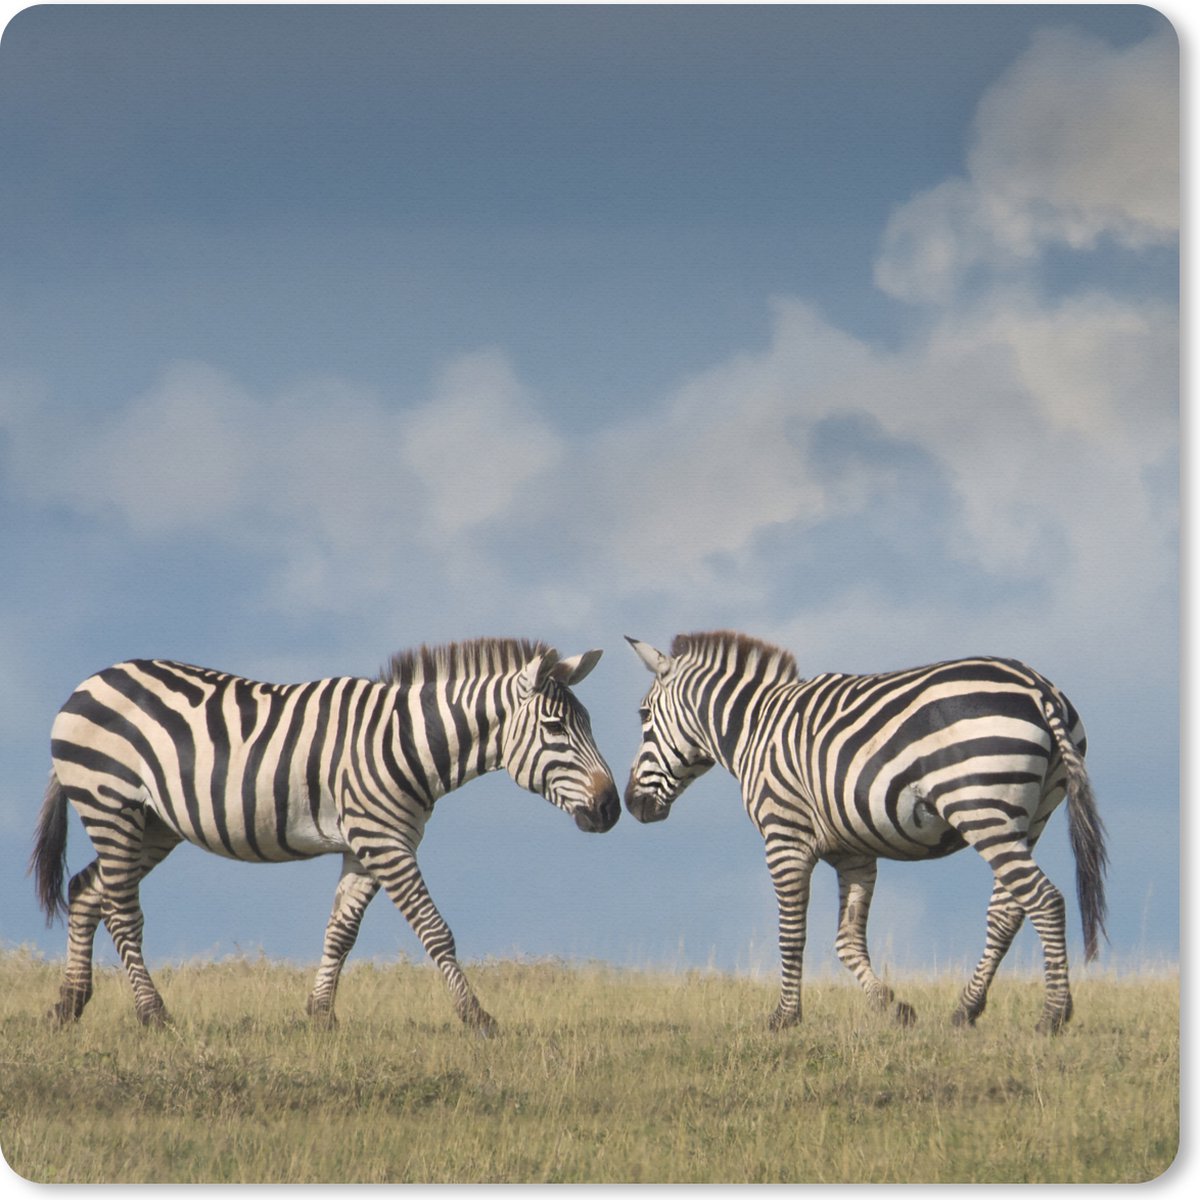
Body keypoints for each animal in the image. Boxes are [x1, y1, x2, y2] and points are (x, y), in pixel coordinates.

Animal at [31, 638, 620, 1034]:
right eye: (555, 728)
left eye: (587, 724)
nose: (612, 808)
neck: (408, 742)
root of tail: (88, 682)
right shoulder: (384, 841)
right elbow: (435, 931)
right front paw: (478, 1018)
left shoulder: (370, 844)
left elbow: (341, 931)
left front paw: (319, 1016)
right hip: (112, 804)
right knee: (122, 911)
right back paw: (154, 1015)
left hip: (152, 825)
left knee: (87, 891)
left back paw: (68, 1005)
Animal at [624, 631, 1107, 1033]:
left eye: (643, 715)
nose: (631, 804)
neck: (754, 728)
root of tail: (1038, 688)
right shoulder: (853, 852)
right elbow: (848, 941)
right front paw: (894, 1008)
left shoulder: (785, 835)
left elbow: (792, 932)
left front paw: (784, 1017)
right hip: (1027, 817)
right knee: (1008, 911)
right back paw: (965, 1009)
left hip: (981, 809)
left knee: (1044, 900)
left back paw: (1052, 1015)